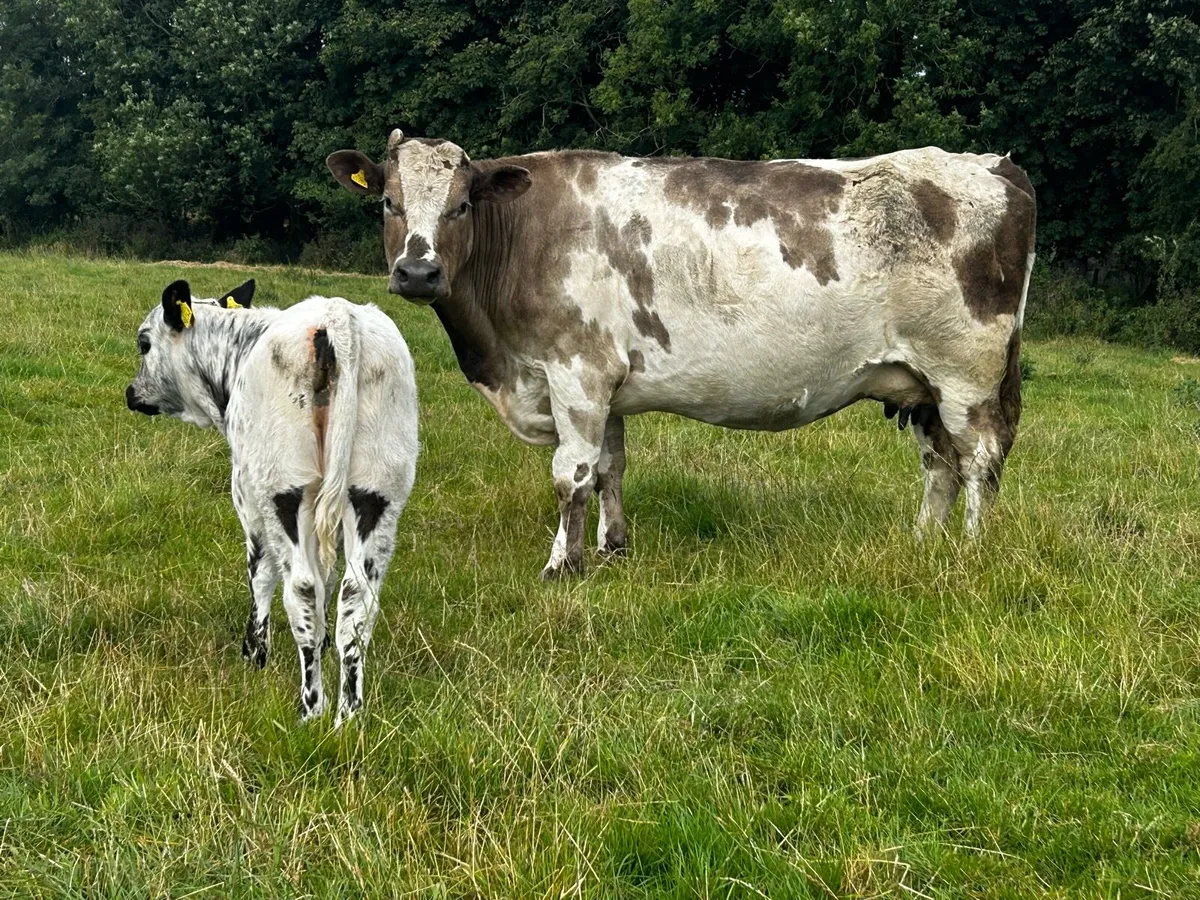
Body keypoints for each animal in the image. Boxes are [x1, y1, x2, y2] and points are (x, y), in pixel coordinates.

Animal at [126, 279, 419, 723]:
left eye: (144, 343)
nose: (132, 393)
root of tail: (337, 316)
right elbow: (329, 578)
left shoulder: (248, 496)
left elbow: (260, 574)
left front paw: (254, 654)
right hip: (376, 492)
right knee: (356, 599)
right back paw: (348, 716)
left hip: (285, 493)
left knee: (300, 588)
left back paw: (311, 708)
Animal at [328, 131, 1034, 579]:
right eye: (388, 202)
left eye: (461, 205)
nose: (418, 273)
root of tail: (994, 164)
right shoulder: (606, 383)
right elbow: (609, 468)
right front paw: (611, 549)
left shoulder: (576, 373)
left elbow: (570, 474)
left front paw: (560, 564)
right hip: (921, 384)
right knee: (939, 465)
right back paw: (924, 543)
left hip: (966, 375)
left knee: (979, 462)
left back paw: (969, 553)